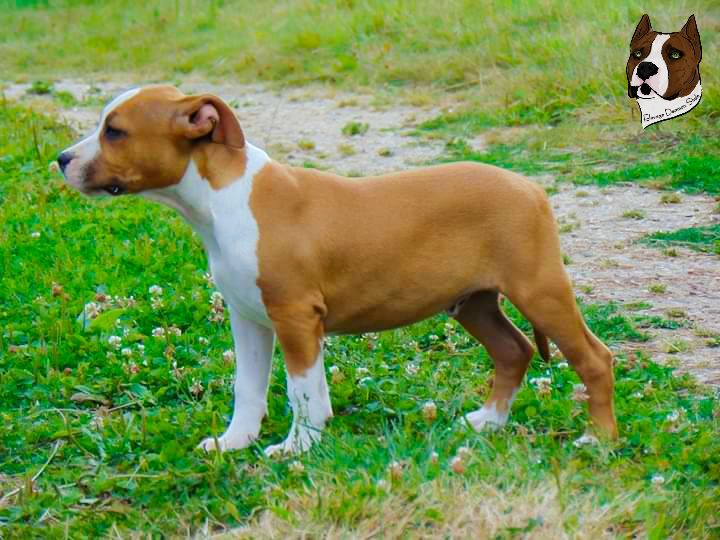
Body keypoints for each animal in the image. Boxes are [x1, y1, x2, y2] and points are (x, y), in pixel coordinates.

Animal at [57, 85, 617, 455]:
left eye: (115, 131)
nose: (61, 159)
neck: (221, 197)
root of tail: (530, 187)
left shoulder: (296, 316)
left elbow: (302, 390)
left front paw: (297, 448)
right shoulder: (250, 318)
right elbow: (249, 387)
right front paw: (236, 442)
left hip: (540, 289)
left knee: (594, 358)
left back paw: (600, 439)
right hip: (472, 301)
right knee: (513, 349)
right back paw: (489, 422)